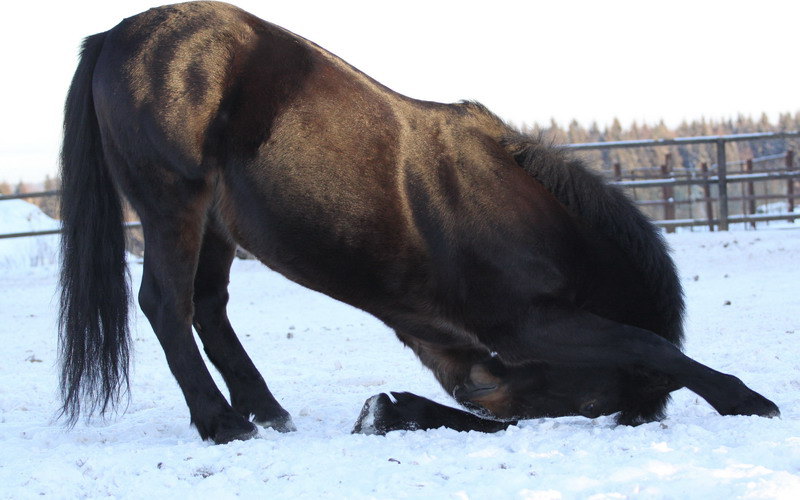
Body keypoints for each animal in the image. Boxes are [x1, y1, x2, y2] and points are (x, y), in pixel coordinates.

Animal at [59, 0, 780, 446]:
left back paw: (267, 412)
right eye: (596, 405)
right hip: (174, 203)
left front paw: (389, 412)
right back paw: (222, 423)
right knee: (168, 304)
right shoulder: (526, 329)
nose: (488, 383)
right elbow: (649, 345)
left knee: (208, 308)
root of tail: (117, 36)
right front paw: (746, 400)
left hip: (214, 223)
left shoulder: (468, 357)